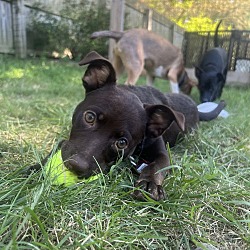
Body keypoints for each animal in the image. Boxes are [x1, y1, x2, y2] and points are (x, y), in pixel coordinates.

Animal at [29, 51, 227, 201]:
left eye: (122, 143)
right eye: (89, 117)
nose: (75, 166)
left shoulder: (162, 153)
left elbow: (156, 166)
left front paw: (149, 184)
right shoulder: (67, 141)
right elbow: (59, 145)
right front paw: (36, 167)